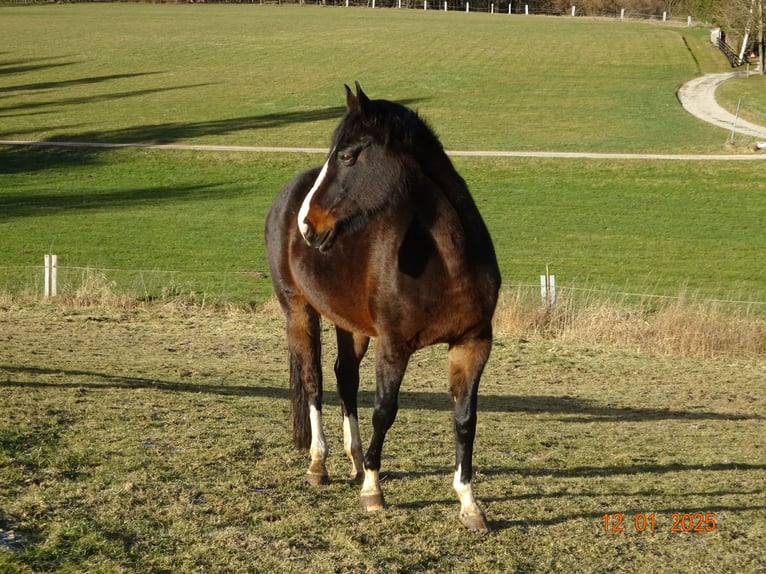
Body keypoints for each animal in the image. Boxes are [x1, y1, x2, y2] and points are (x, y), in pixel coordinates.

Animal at [266, 82, 504, 536]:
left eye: (347, 155)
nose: (308, 224)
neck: (447, 263)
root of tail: (285, 197)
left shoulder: (473, 344)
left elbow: (465, 420)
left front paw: (469, 503)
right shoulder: (393, 346)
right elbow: (385, 411)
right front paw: (373, 492)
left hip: (351, 324)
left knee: (344, 376)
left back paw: (355, 459)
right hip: (299, 310)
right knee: (313, 380)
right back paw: (320, 464)